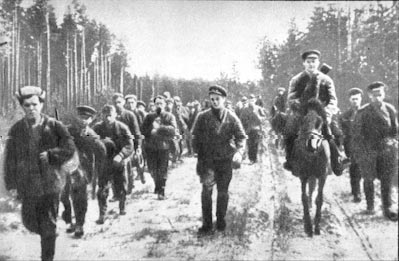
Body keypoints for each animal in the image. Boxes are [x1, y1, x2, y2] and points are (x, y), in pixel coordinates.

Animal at [290, 97, 332, 236]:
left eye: (320, 122)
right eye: (303, 120)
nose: (311, 145)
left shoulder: (322, 175)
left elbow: (319, 198)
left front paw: (317, 226)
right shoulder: (303, 175)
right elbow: (304, 197)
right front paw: (308, 225)